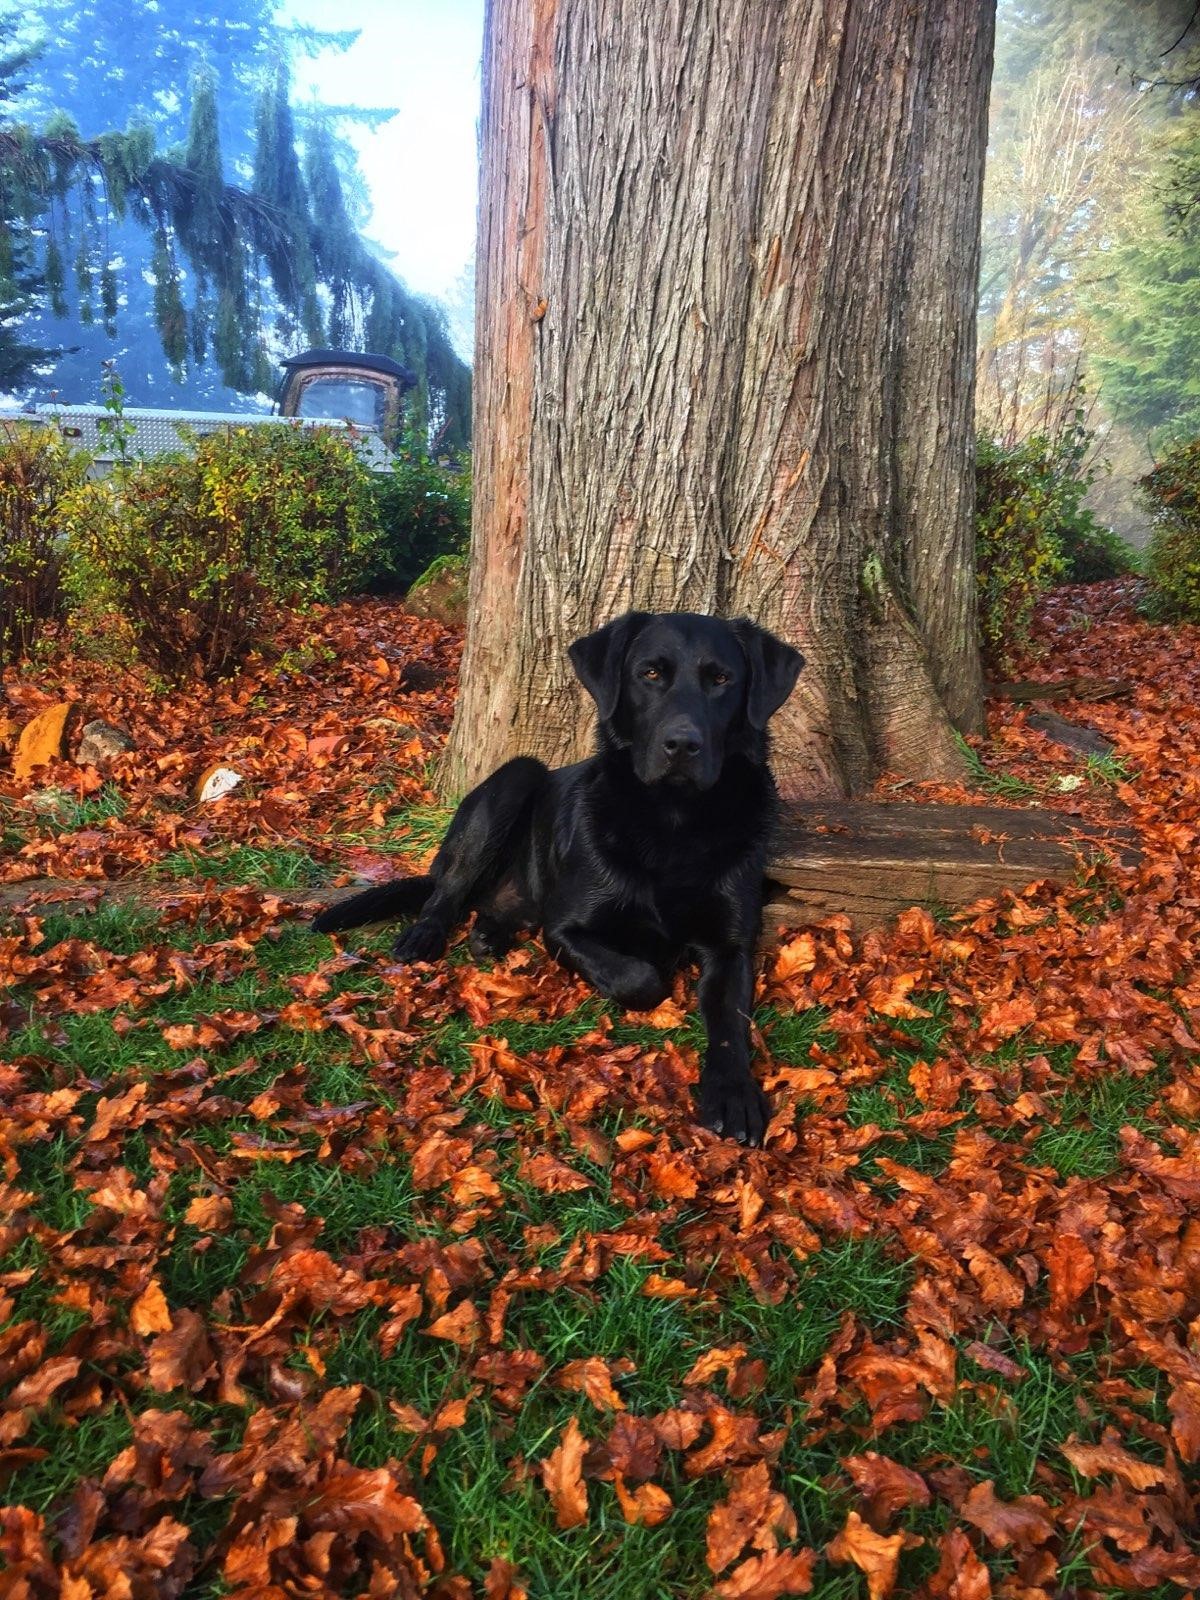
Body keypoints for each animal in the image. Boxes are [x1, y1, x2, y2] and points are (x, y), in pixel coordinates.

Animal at [316, 611, 809, 1152]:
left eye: (722, 679)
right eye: (650, 674)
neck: (673, 823)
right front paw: (655, 968)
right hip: (514, 779)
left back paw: (489, 934)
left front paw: (733, 1092)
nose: (682, 744)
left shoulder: (731, 946)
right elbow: (641, 978)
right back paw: (427, 934)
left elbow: (729, 1023)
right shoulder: (566, 928)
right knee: (446, 891)